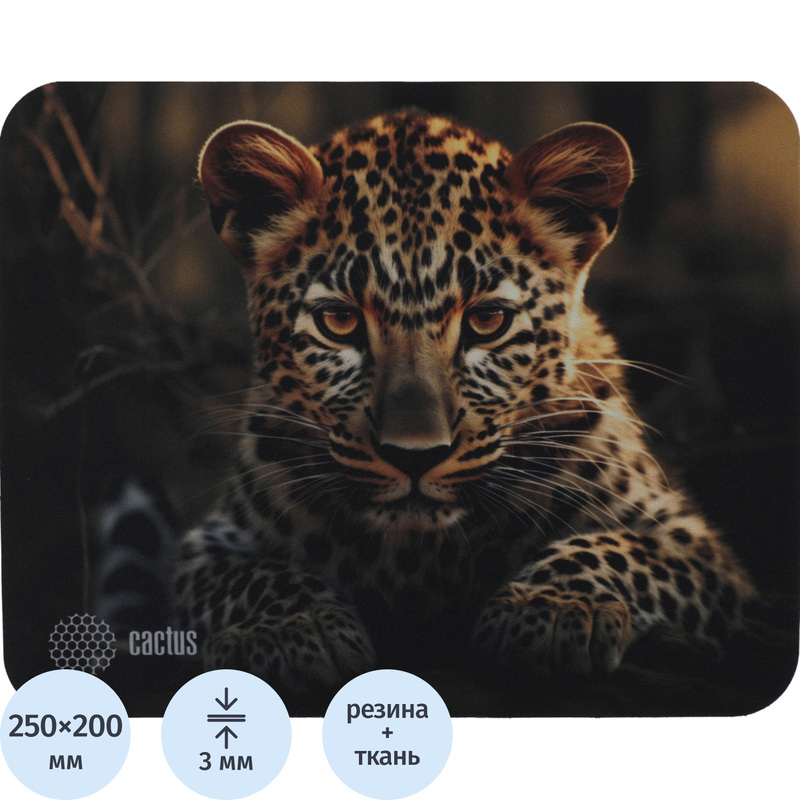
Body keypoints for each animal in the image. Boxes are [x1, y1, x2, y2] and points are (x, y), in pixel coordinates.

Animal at [173, 109, 757, 696]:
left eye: (487, 320)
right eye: (338, 321)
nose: (414, 456)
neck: (419, 556)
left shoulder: (693, 544)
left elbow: (612, 548)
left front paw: (552, 608)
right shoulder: (207, 547)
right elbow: (251, 575)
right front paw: (291, 628)